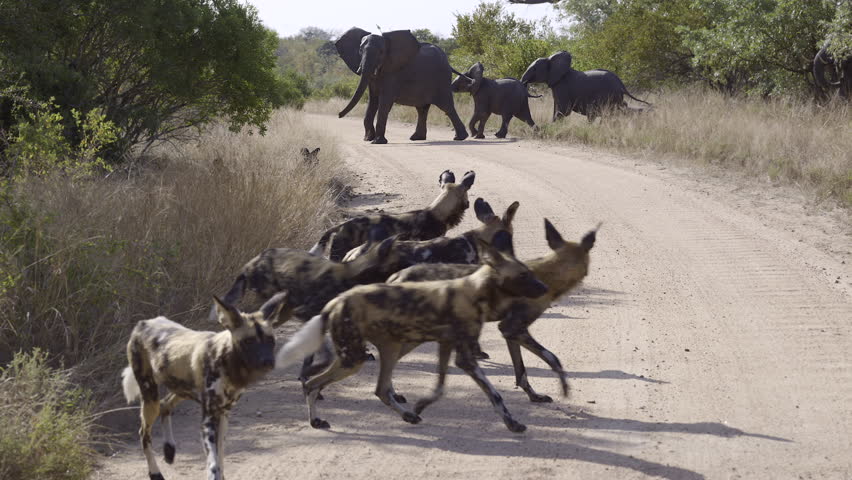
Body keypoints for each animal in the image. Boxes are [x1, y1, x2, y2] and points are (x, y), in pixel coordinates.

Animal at [335, 27, 468, 144]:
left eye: (381, 52)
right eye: (360, 51)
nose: (339, 115)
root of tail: (448, 62)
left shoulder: (392, 72)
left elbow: (384, 102)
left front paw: (378, 142)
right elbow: (372, 101)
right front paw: (367, 139)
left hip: (441, 79)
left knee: (447, 107)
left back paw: (460, 138)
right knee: (422, 109)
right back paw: (417, 138)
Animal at [520, 51, 650, 122]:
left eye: (534, 69)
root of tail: (621, 83)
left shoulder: (562, 86)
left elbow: (563, 111)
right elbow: (557, 109)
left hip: (610, 95)